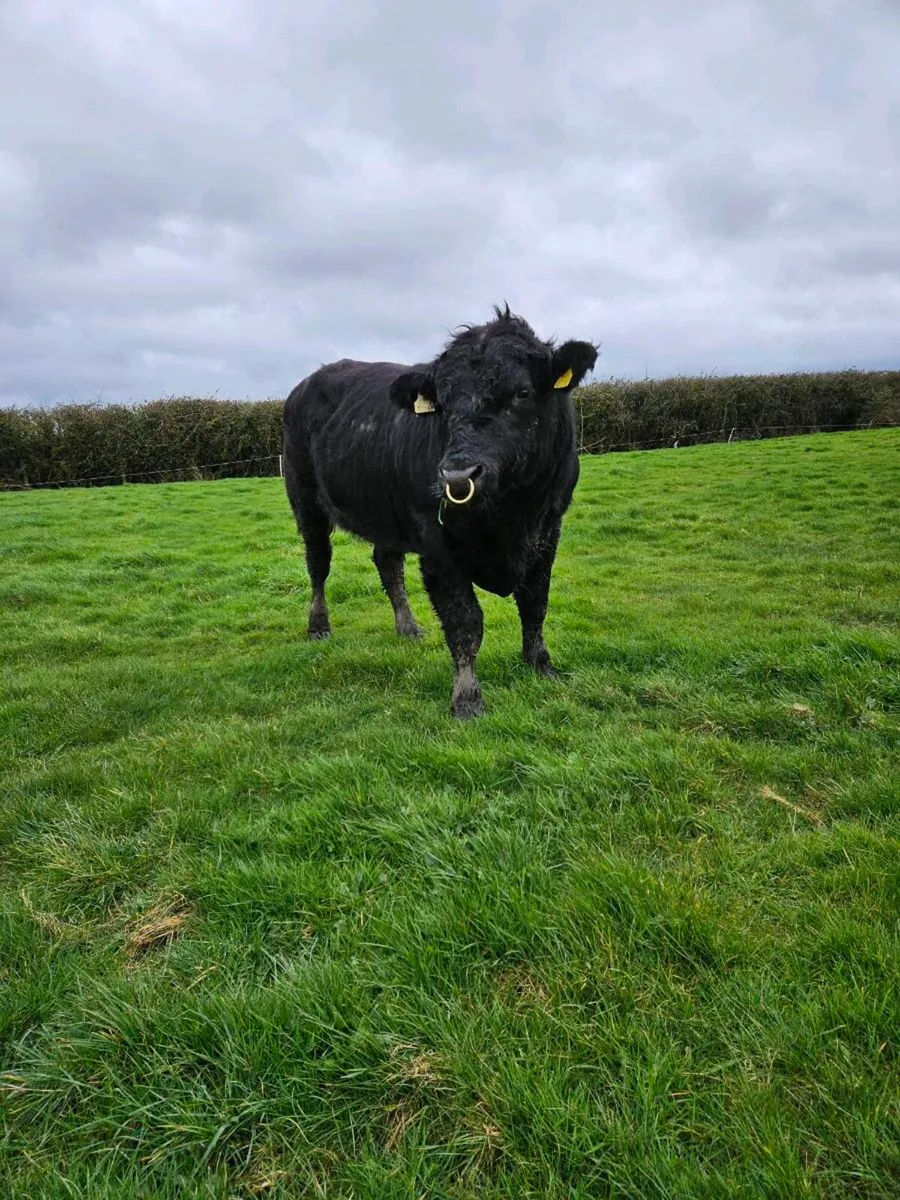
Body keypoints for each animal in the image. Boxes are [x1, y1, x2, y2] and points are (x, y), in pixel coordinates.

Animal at [282, 305, 597, 718]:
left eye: (523, 392)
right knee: (319, 563)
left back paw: (409, 627)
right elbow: (465, 622)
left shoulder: (547, 530)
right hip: (306, 499)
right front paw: (467, 698)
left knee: (387, 564)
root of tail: (308, 382)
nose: (458, 475)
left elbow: (535, 603)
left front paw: (541, 666)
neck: (511, 512)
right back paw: (319, 625)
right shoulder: (438, 549)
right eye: (443, 405)